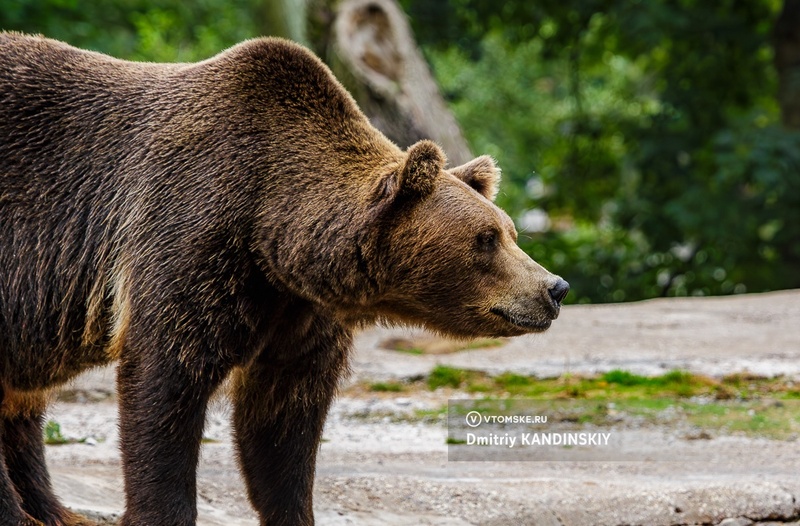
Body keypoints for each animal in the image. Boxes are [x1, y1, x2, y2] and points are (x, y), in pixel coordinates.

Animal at [0, 33, 568, 526]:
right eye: (486, 238)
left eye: (512, 231)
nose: (554, 288)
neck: (270, 231)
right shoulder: (189, 238)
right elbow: (165, 386)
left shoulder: (297, 312)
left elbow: (281, 425)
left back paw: (51, 510)